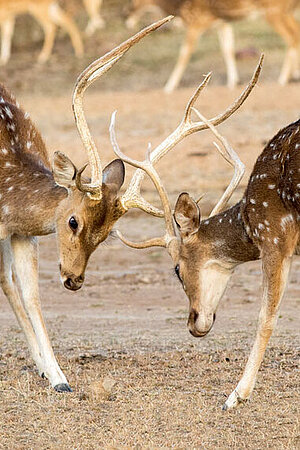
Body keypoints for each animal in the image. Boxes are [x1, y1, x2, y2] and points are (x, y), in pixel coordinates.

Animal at [110, 54, 300, 410]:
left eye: (176, 269)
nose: (192, 323)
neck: (249, 217)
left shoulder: (275, 235)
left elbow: (266, 317)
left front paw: (235, 396)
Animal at [126, 0, 300, 92]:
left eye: (134, 1)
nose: (126, 17)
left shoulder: (197, 21)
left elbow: (184, 52)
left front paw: (169, 86)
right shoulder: (222, 22)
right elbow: (228, 49)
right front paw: (233, 81)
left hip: (275, 12)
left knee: (292, 37)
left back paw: (283, 78)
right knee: (295, 35)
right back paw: (292, 74)